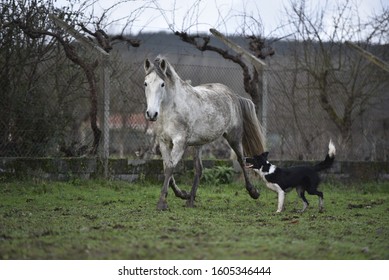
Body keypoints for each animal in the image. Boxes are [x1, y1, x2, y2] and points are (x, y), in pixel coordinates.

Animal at [144, 55, 266, 210]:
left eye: (162, 84)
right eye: (146, 83)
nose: (151, 114)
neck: (170, 111)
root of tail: (233, 95)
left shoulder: (180, 142)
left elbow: (170, 168)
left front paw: (162, 203)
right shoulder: (164, 142)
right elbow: (166, 168)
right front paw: (182, 194)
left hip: (234, 137)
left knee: (241, 160)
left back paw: (253, 192)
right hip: (198, 144)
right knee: (199, 169)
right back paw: (190, 199)